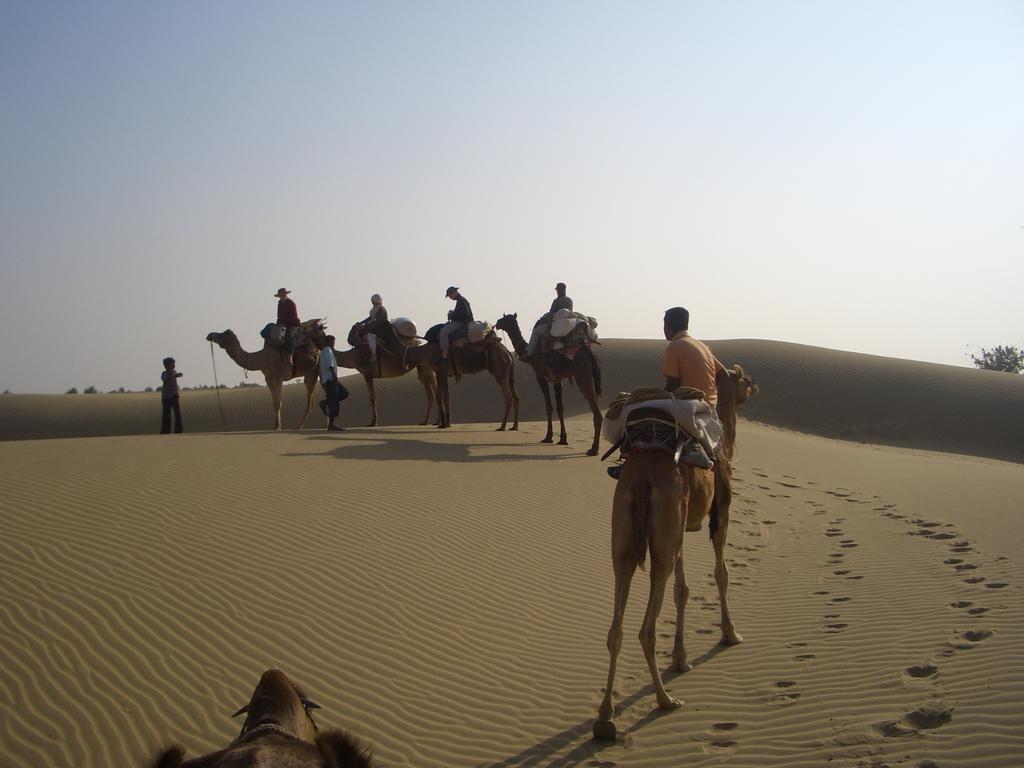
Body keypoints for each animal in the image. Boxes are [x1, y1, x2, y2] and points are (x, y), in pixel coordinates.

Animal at [372, 319, 520, 434]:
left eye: (378, 324)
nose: (367, 329)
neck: (423, 352)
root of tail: (507, 351)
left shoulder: (440, 370)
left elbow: (439, 397)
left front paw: (442, 424)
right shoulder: (443, 373)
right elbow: (446, 398)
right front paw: (446, 423)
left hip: (500, 371)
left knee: (508, 397)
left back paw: (502, 426)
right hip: (508, 373)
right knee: (516, 396)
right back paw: (514, 426)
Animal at [493, 313, 602, 456]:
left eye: (505, 318)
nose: (497, 322)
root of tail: (589, 353)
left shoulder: (540, 376)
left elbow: (548, 407)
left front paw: (548, 437)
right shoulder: (557, 379)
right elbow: (560, 408)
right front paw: (562, 439)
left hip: (582, 374)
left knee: (596, 412)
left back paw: (593, 449)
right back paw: (594, 448)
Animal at [598, 372, 757, 741]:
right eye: (747, 379)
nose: (756, 388)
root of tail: (643, 475)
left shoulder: (681, 527)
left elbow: (681, 590)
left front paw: (681, 658)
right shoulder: (720, 512)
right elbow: (721, 573)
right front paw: (730, 633)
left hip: (626, 532)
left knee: (616, 624)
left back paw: (605, 717)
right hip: (663, 533)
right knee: (646, 627)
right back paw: (665, 700)